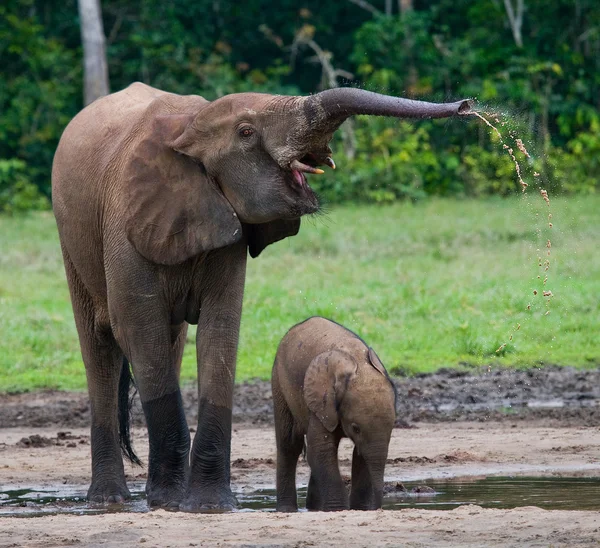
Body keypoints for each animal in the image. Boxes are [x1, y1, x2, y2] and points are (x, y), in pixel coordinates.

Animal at [274, 314, 398, 512]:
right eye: (355, 428)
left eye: (393, 426)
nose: (377, 508)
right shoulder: (321, 404)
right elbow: (321, 449)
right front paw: (338, 509)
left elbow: (360, 455)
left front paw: (359, 509)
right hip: (279, 382)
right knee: (289, 444)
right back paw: (288, 510)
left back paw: (314, 508)